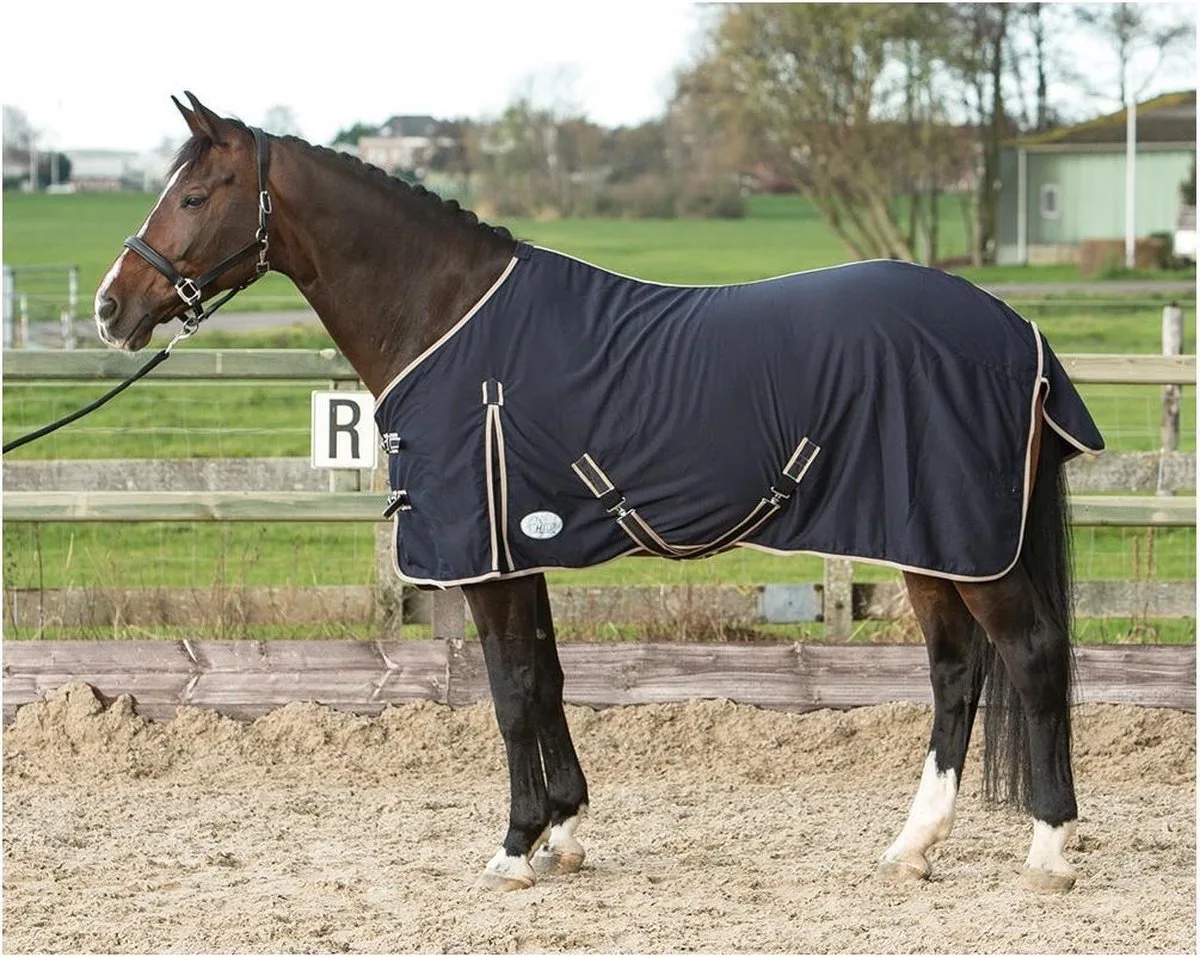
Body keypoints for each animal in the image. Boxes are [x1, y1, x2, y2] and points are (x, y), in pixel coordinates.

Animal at [94, 93, 1103, 894]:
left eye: (192, 195)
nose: (111, 307)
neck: (448, 321)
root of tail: (1017, 331)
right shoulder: (520, 547)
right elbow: (544, 679)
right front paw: (566, 830)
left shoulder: (486, 558)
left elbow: (508, 692)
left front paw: (513, 846)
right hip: (929, 540)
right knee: (956, 672)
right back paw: (912, 846)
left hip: (968, 544)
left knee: (1032, 654)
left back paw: (1049, 851)